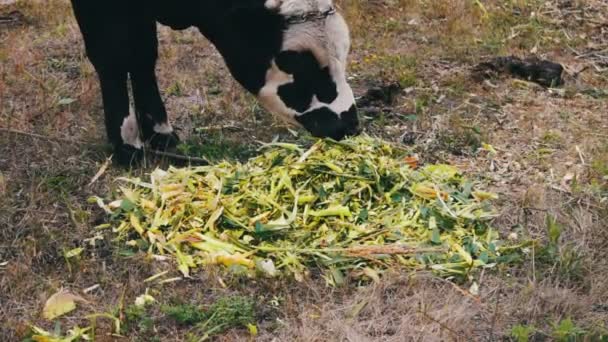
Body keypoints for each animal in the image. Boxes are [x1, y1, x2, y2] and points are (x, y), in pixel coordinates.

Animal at [69, 0, 358, 166]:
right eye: (297, 63)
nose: (349, 124)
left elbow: (143, 54)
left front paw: (160, 132)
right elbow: (113, 56)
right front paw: (127, 145)